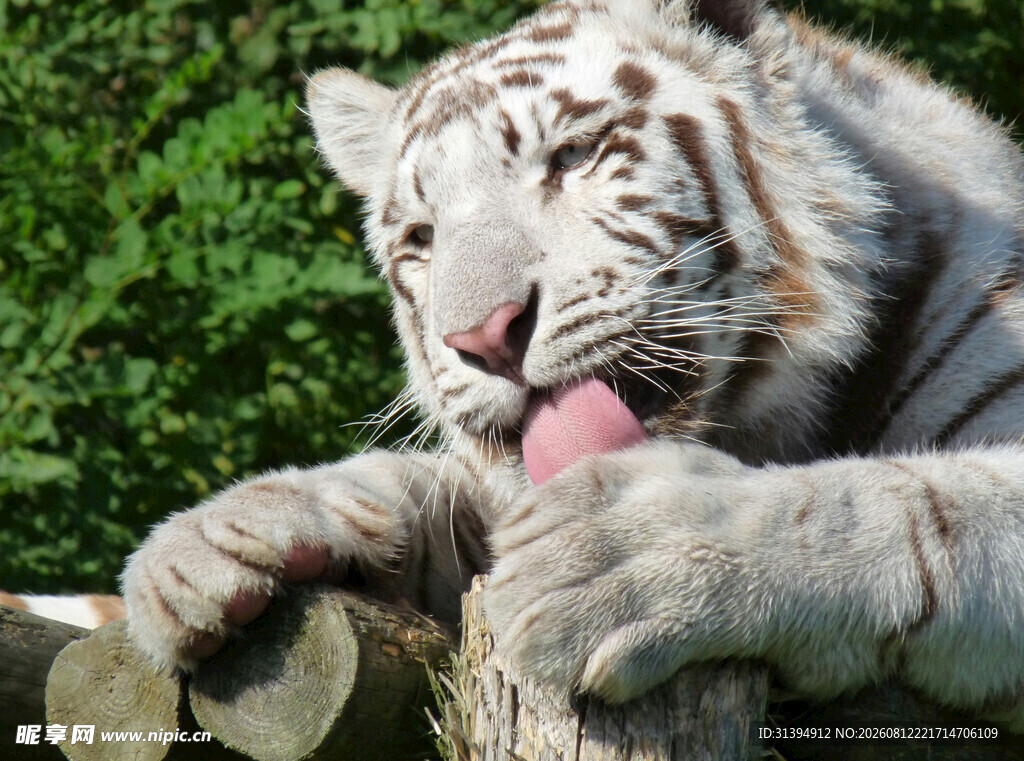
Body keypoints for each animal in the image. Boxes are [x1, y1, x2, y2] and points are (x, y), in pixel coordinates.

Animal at [117, 0, 1024, 732]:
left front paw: (621, 553)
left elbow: (892, 504)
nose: (483, 335)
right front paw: (210, 542)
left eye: (573, 156)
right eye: (422, 238)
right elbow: (432, 490)